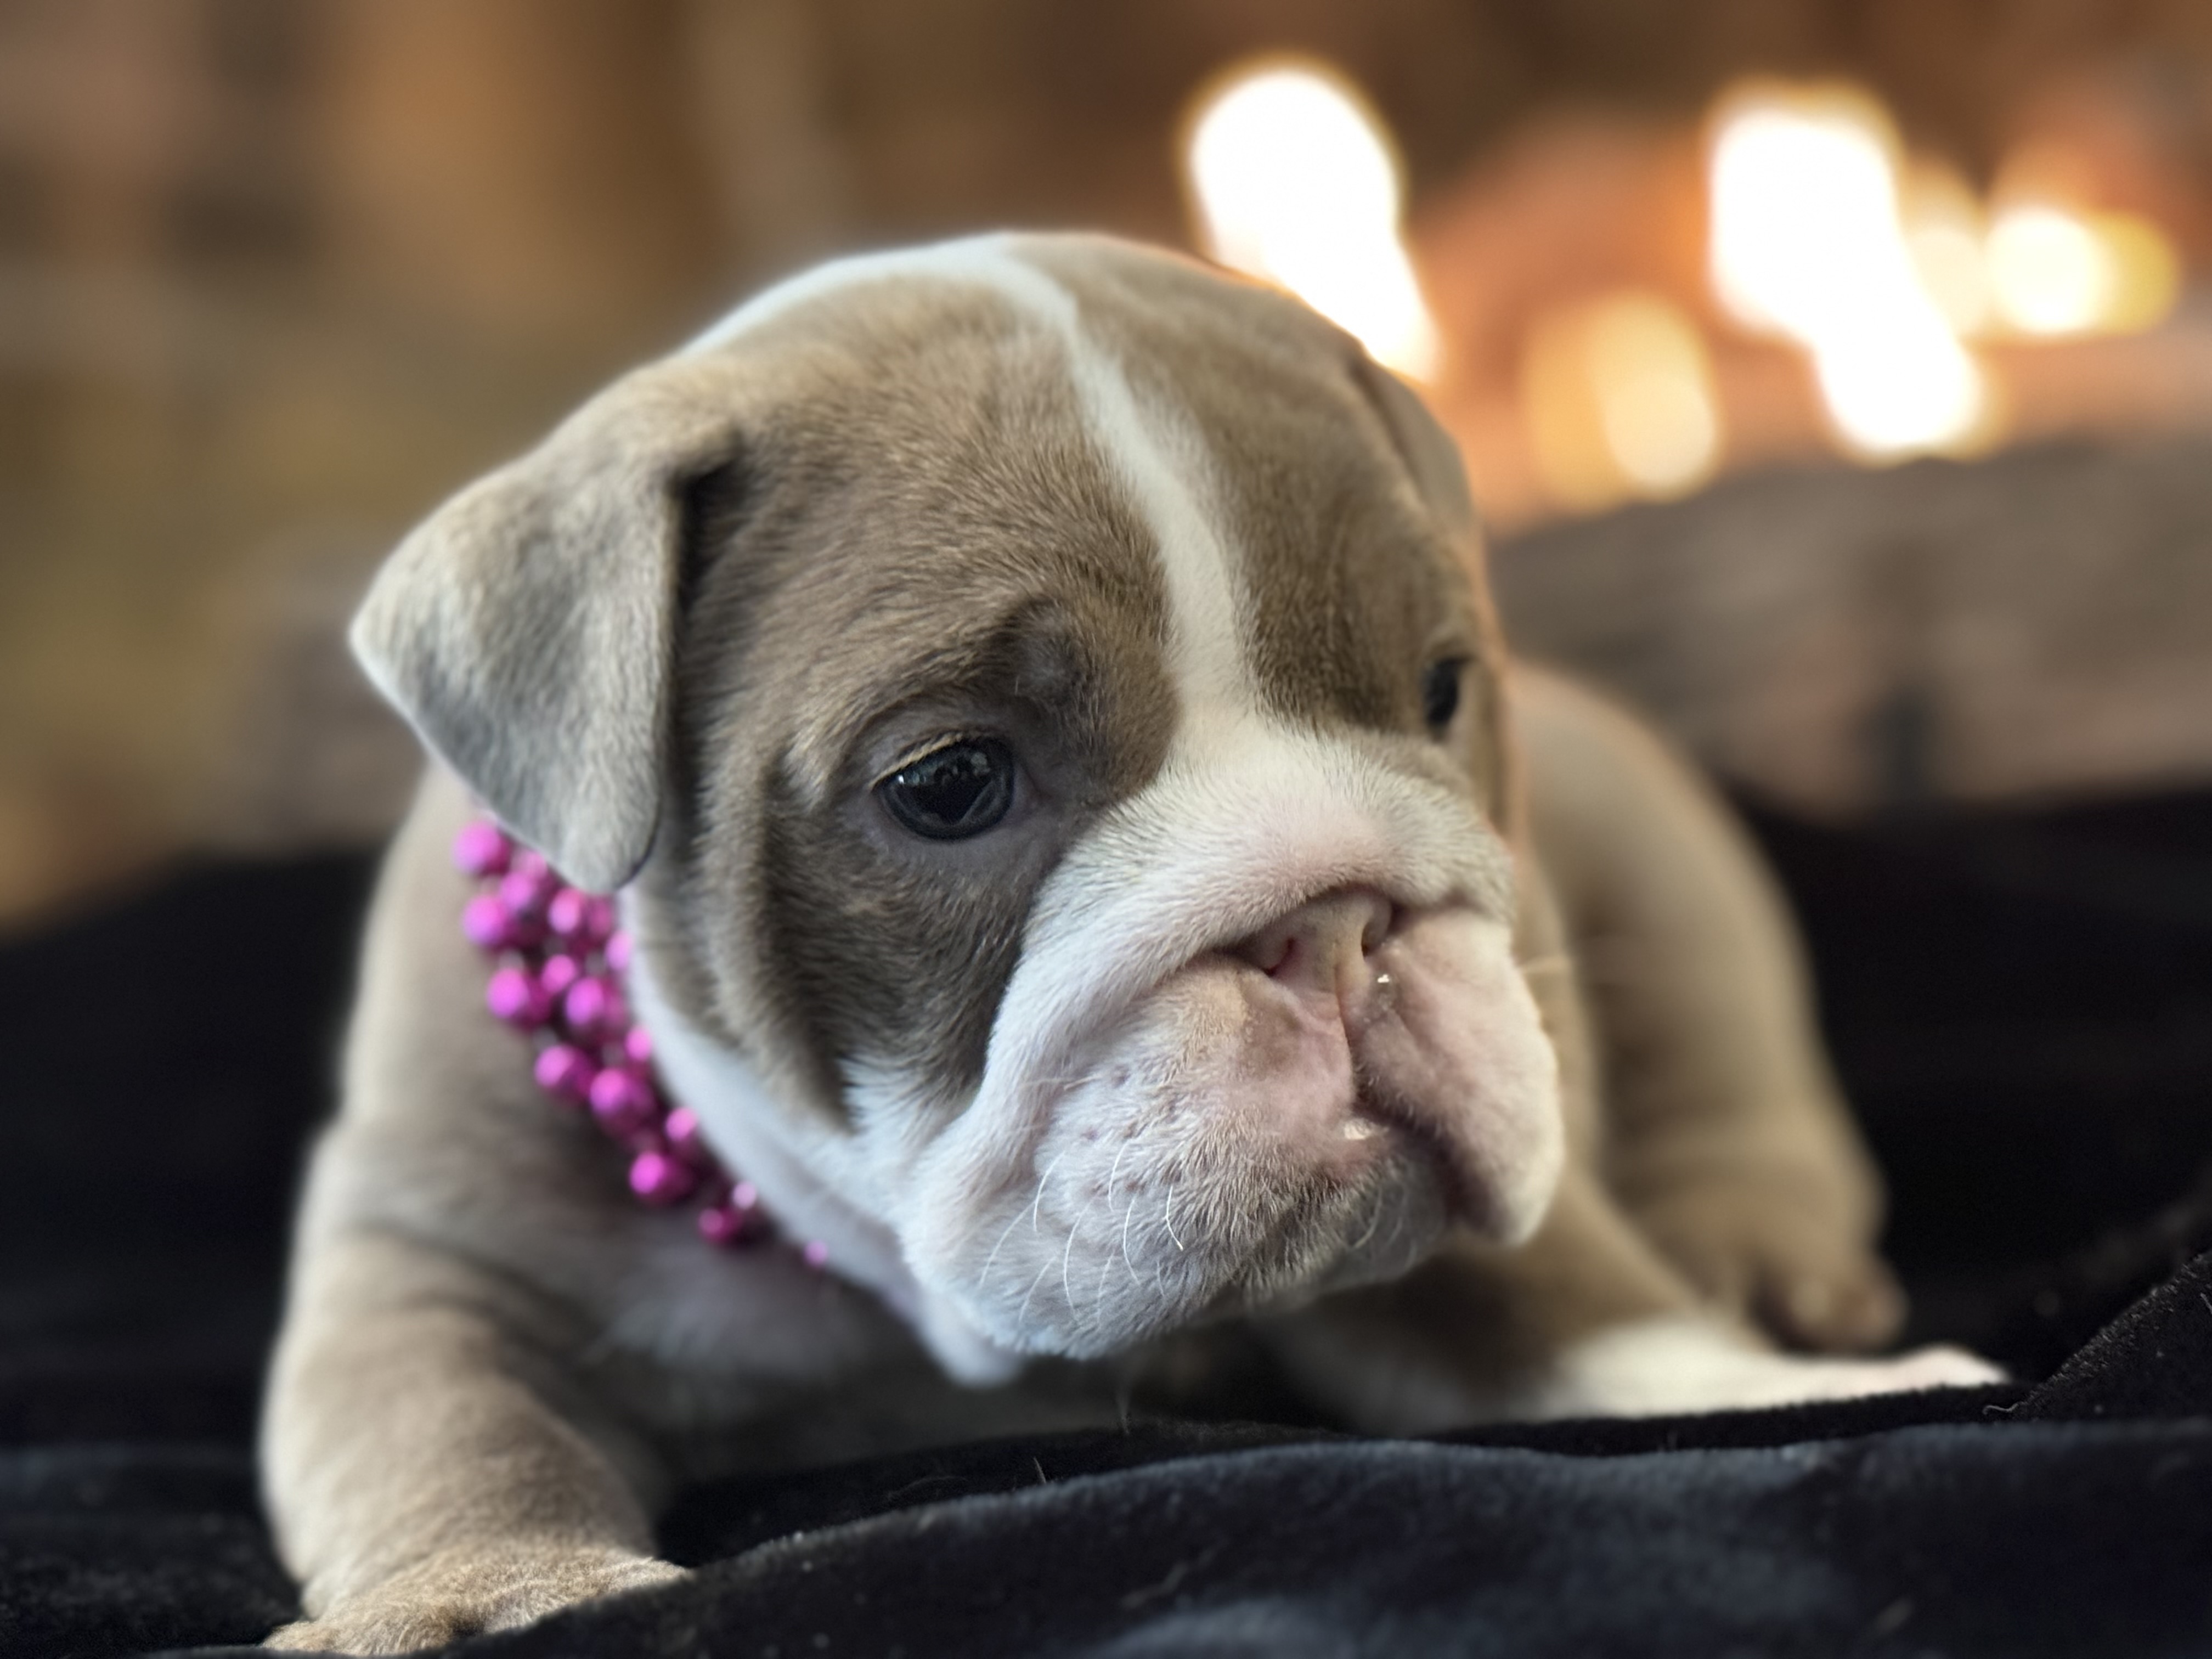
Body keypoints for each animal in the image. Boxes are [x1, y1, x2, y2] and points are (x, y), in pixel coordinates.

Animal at [262, 233, 1996, 1652]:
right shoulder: (433, 1253)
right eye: (950, 784)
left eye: (1442, 689)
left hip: (1659, 858)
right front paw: (494, 1602)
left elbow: (1572, 1304)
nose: (1337, 923)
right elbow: (451, 1425)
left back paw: (1769, 1262)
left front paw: (1781, 1391)